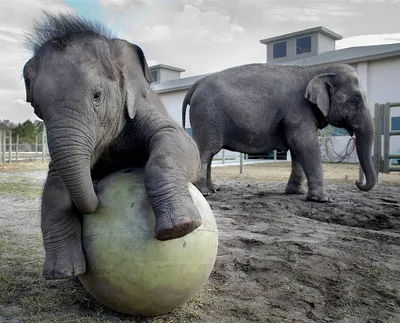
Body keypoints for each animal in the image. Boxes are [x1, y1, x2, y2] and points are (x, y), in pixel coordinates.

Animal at [23, 12, 202, 280]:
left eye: (97, 95)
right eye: (37, 109)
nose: (97, 185)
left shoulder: (140, 105)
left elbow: (176, 139)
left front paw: (179, 228)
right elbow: (54, 187)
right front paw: (61, 273)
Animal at [183, 62, 376, 200]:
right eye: (356, 99)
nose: (358, 182)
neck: (316, 70)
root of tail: (195, 85)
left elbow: (298, 149)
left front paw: (295, 192)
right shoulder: (298, 110)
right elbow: (305, 144)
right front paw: (322, 199)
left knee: (210, 153)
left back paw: (213, 189)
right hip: (207, 115)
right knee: (207, 150)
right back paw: (205, 193)